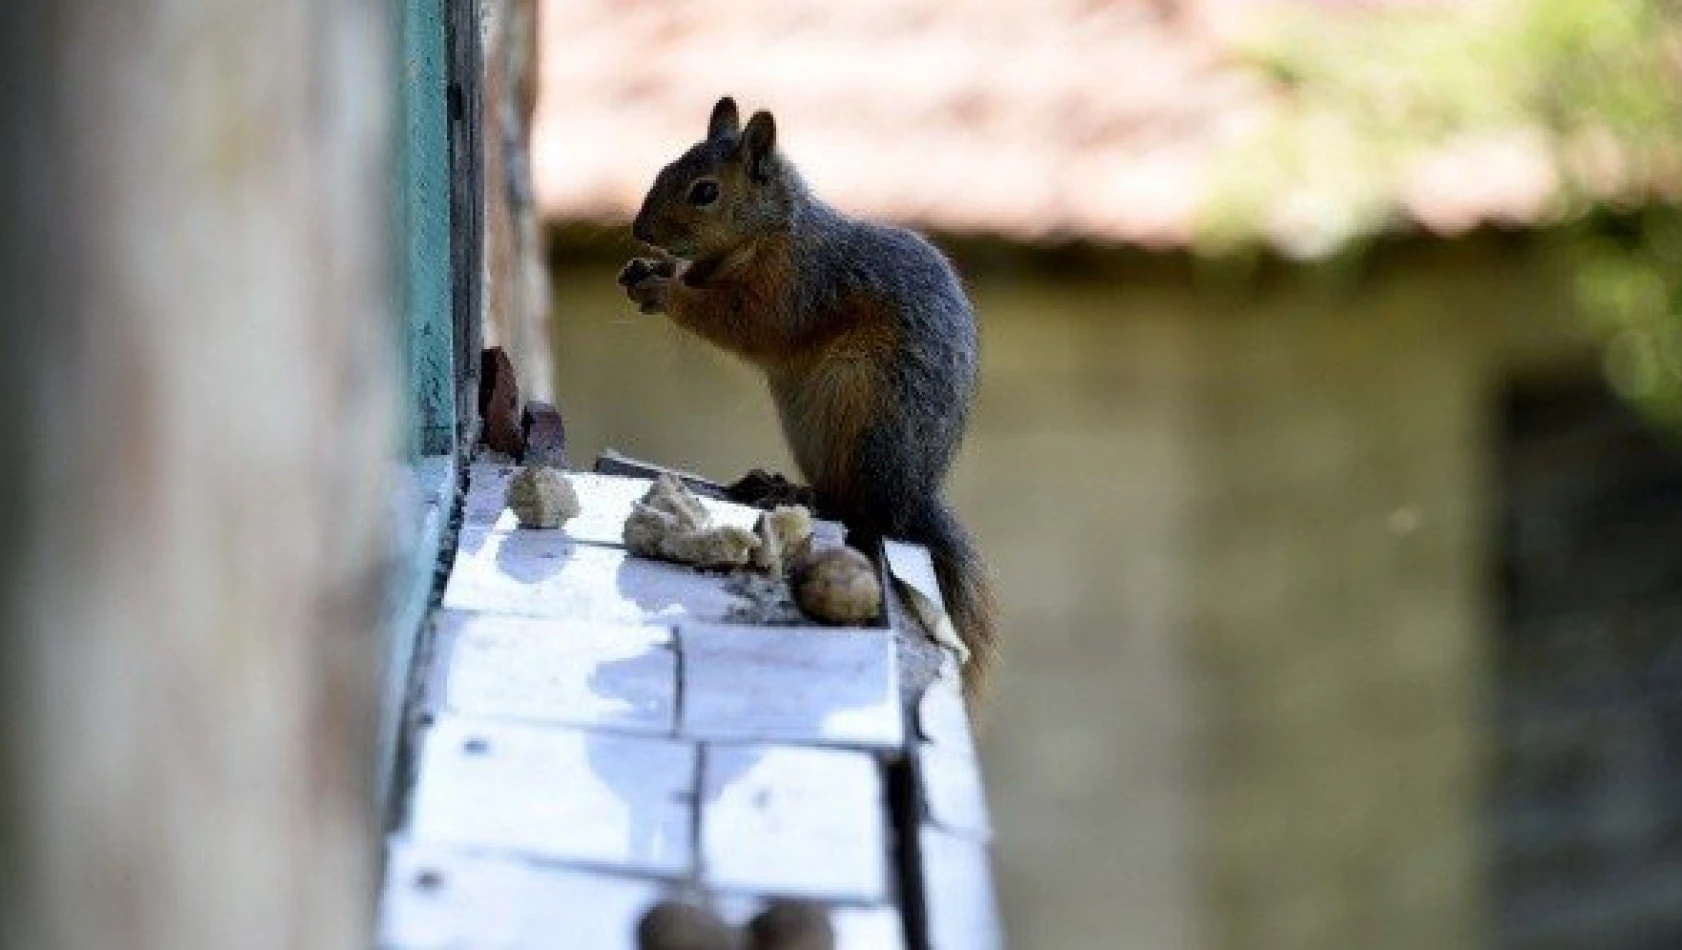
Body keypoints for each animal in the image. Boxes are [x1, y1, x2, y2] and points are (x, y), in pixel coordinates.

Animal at [622, 94, 995, 696]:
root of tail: (911, 498)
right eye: (665, 166)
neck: (767, 233)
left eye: (705, 191)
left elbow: (739, 320)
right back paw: (775, 485)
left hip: (860, 408)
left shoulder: (793, 287)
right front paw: (651, 268)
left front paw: (664, 288)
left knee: (857, 509)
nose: (640, 230)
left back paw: (802, 497)